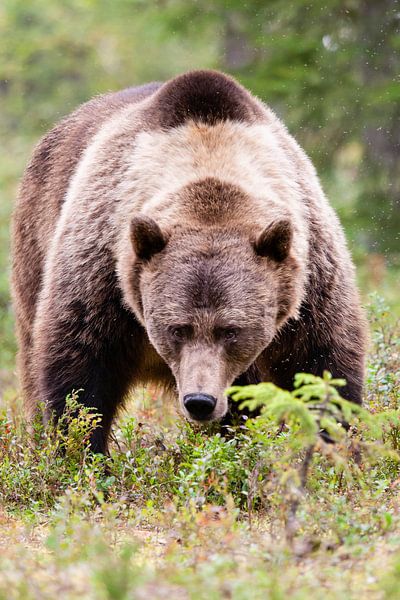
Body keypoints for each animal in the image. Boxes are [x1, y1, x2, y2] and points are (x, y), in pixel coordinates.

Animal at [10, 70, 368, 452]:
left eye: (231, 330)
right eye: (177, 327)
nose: (200, 401)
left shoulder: (309, 279)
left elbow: (324, 363)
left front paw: (336, 443)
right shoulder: (102, 269)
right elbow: (78, 370)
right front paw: (79, 449)